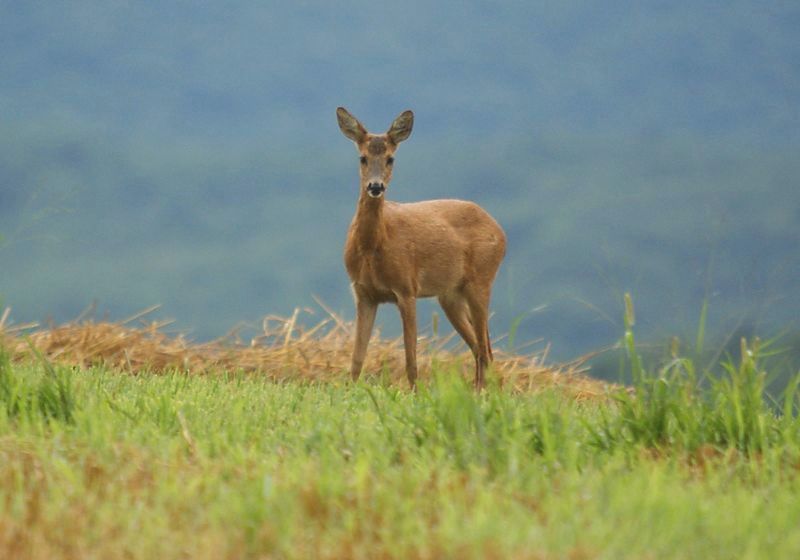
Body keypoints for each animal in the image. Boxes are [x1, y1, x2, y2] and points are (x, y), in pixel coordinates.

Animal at [338, 108, 506, 390]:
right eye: (363, 158)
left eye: (390, 158)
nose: (375, 186)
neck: (372, 247)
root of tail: (500, 231)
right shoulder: (363, 293)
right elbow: (356, 359)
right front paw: (349, 391)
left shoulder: (407, 288)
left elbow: (411, 359)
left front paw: (416, 394)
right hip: (450, 295)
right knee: (480, 348)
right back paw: (478, 391)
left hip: (481, 280)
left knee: (484, 348)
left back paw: (482, 393)